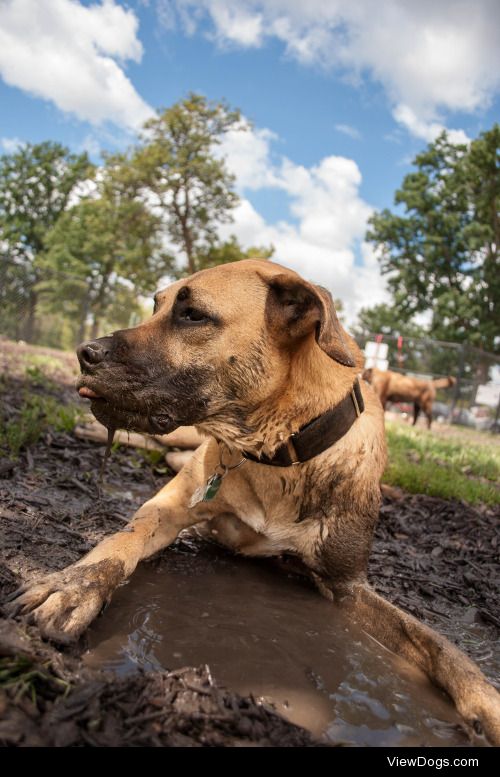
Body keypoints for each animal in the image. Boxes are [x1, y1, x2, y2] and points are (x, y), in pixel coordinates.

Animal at [7, 262, 500, 744]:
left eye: (192, 315)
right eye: (155, 305)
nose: (84, 353)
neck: (277, 450)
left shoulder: (348, 585)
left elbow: (438, 644)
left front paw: (486, 703)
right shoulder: (165, 511)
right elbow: (117, 542)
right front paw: (75, 586)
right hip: (183, 438)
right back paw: (85, 430)